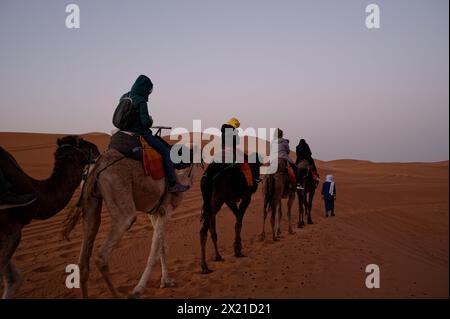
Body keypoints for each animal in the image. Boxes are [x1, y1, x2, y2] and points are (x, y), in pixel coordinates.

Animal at [62, 145, 200, 300]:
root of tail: (98, 165)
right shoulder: (166, 210)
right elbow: (155, 251)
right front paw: (138, 290)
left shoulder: (153, 213)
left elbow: (162, 247)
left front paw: (166, 281)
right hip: (121, 199)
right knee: (102, 255)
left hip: (91, 202)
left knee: (83, 260)